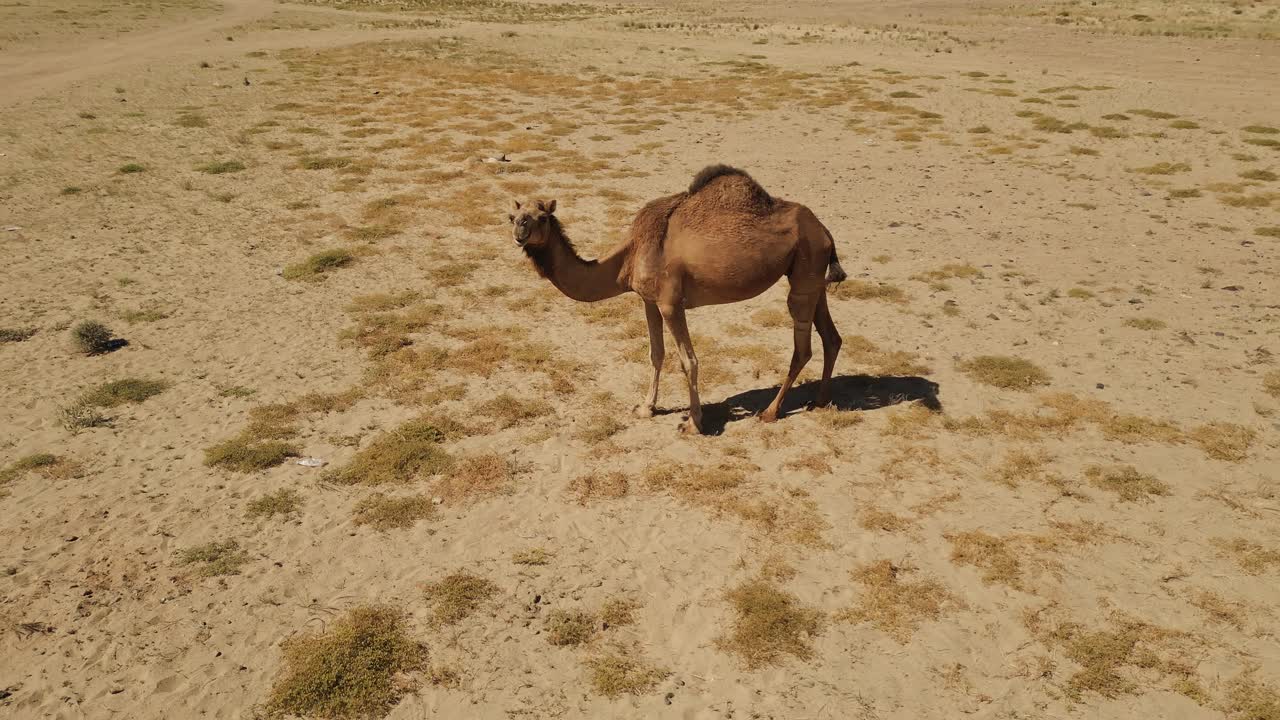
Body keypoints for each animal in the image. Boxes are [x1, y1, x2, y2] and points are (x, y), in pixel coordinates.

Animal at [509, 164, 846, 434]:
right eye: (513, 216)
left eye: (542, 217)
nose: (519, 231)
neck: (630, 254)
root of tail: (825, 231)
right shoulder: (648, 300)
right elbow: (656, 354)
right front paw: (646, 408)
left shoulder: (671, 302)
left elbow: (689, 361)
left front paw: (694, 423)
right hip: (812, 275)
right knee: (831, 337)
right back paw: (820, 400)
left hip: (804, 272)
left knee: (802, 347)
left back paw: (771, 412)